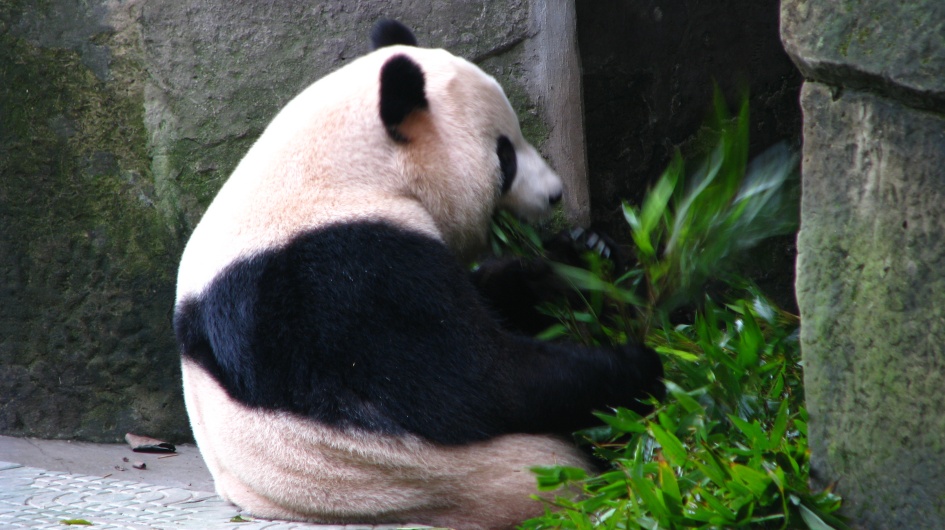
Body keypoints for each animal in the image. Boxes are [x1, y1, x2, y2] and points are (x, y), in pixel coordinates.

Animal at [174, 19, 663, 530]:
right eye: (505, 155)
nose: (554, 194)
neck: (345, 167)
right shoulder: (331, 277)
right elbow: (472, 381)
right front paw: (636, 364)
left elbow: (494, 298)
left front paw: (583, 256)